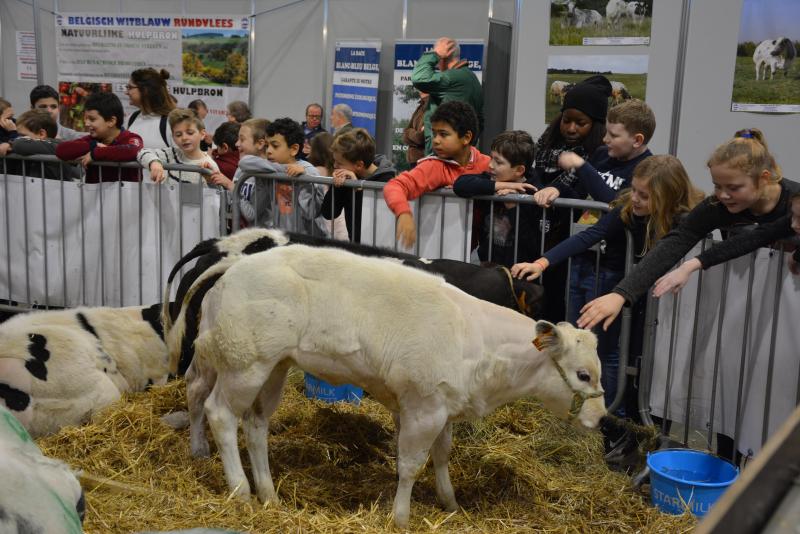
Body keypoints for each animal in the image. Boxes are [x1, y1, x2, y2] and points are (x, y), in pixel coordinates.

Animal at [189, 246, 600, 528]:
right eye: (583, 374)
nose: (600, 418)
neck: (477, 339)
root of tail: (235, 266)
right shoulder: (423, 408)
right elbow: (410, 465)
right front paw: (401, 516)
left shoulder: (441, 407)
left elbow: (442, 456)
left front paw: (450, 502)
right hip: (244, 364)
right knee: (219, 414)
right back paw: (241, 491)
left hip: (273, 368)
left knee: (255, 425)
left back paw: (269, 494)